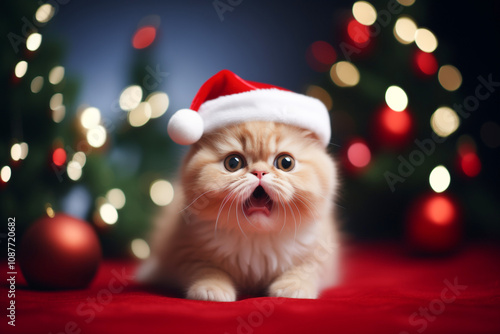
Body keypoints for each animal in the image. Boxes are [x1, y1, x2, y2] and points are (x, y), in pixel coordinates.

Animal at [137, 121, 340, 302]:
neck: (256, 237)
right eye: (233, 163)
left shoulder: (321, 252)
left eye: (285, 162)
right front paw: (211, 288)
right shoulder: (183, 249)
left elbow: (305, 268)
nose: (259, 172)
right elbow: (206, 269)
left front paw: (291, 287)